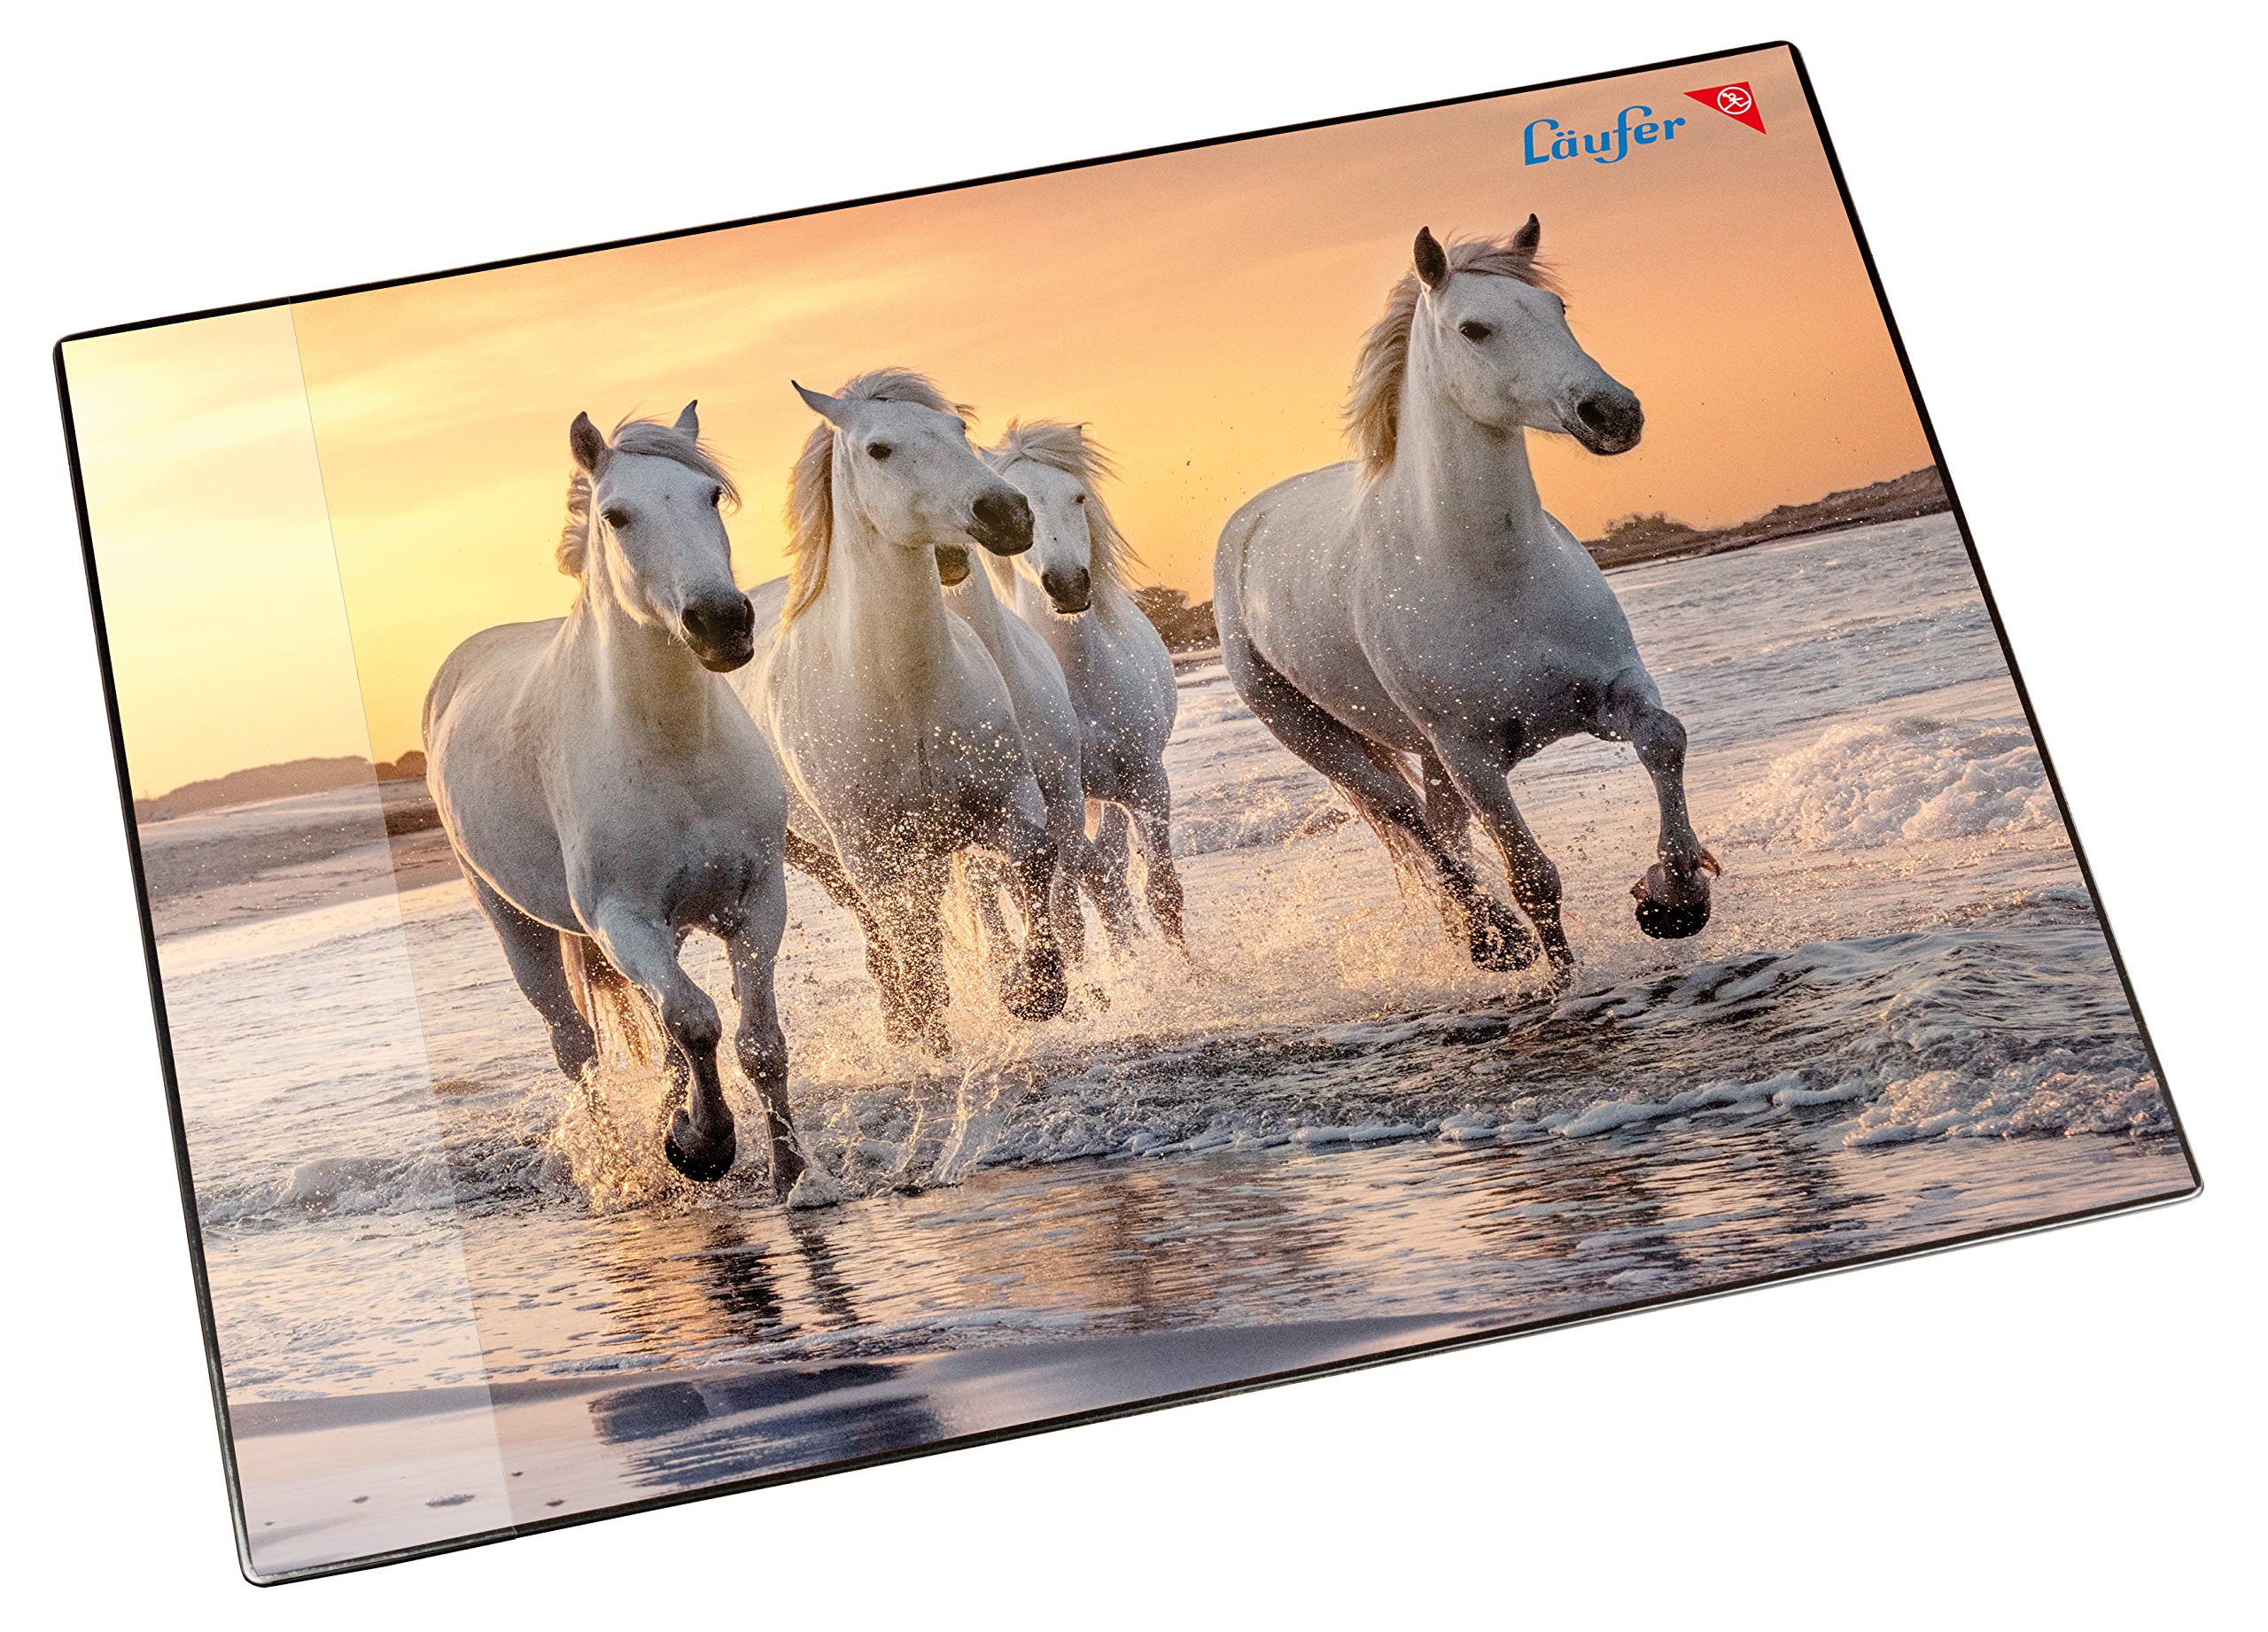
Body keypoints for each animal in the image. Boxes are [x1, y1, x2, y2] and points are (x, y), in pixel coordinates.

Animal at [423, 403, 827, 1197]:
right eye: (616, 515)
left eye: (711, 496)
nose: (722, 622)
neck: (674, 752)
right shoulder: (624, 918)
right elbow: (697, 1021)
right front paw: (703, 1146)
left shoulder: (757, 901)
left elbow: (758, 1042)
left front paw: (792, 1173)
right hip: (521, 929)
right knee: (577, 1049)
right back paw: (619, 1171)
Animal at [730, 370, 1069, 1053]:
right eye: (879, 449)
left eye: (958, 428)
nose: (1008, 513)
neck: (904, 698)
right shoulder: (869, 851)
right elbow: (910, 939)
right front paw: (932, 1030)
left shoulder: (1008, 799)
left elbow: (1034, 859)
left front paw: (1034, 990)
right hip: (817, 854)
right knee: (879, 928)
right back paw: (902, 1016)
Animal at [983, 422, 1185, 949]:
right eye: (1022, 503)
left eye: (1077, 496)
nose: (1069, 584)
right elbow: (1083, 897)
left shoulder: (1146, 782)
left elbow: (1162, 894)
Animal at [1213, 221, 1717, 977]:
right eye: (1474, 329)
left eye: (1556, 308)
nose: (1613, 413)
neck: (1493, 576)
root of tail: (1247, 526)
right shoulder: (1470, 755)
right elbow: (1534, 879)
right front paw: (1562, 974)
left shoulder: (1612, 691)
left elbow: (1665, 738)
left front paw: (1675, 897)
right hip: (1312, 732)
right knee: (1405, 817)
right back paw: (1491, 938)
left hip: (1422, 752)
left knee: (1438, 827)